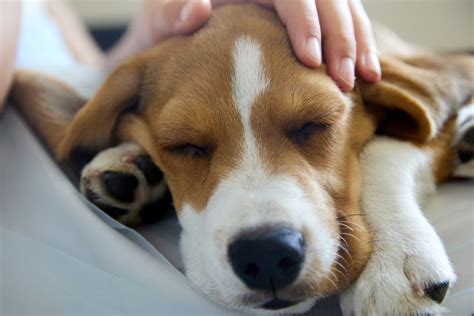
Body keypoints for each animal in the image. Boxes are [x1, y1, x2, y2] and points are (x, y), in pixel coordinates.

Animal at [9, 3, 472, 314]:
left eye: (314, 124)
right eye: (186, 145)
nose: (265, 254)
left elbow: (388, 147)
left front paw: (396, 257)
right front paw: (129, 163)